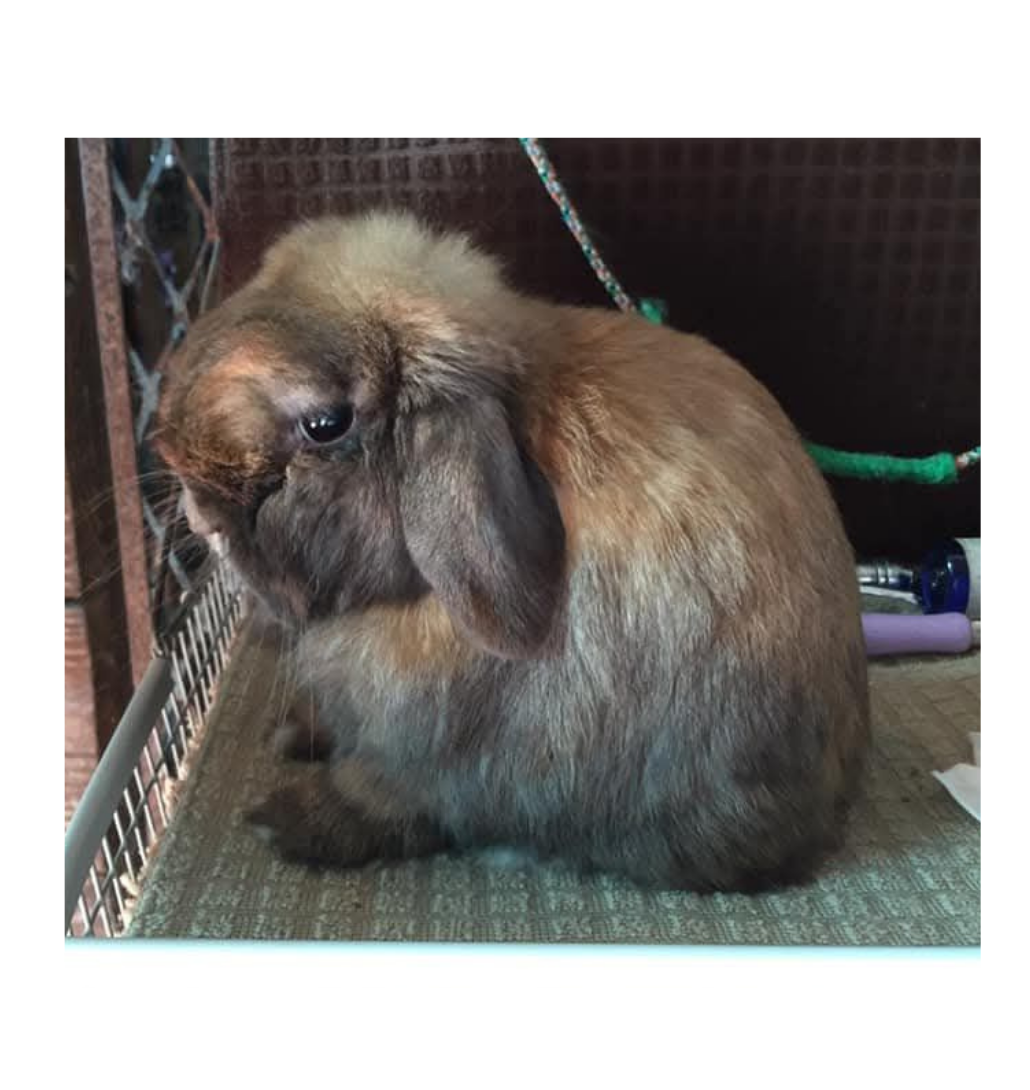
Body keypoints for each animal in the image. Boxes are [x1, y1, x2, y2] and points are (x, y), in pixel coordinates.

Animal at [155, 211, 870, 894]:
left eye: (324, 425)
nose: (199, 516)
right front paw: (293, 734)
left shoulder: (419, 762)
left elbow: (373, 798)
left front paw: (280, 824)